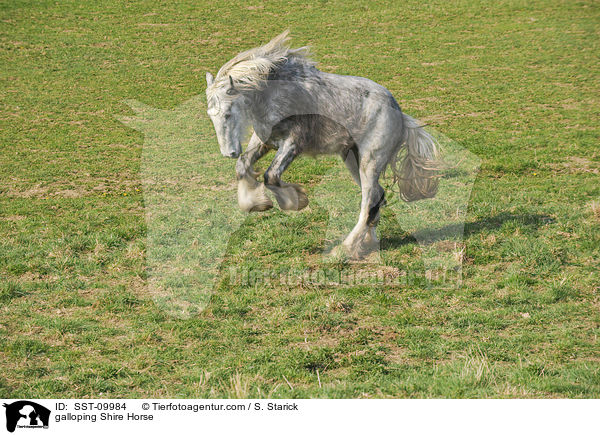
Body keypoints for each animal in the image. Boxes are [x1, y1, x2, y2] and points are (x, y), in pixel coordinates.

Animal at [204, 32, 438, 260]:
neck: (273, 93)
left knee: (368, 202)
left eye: (228, 113)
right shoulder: (265, 140)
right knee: (377, 198)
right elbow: (243, 166)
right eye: (210, 114)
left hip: (370, 162)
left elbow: (271, 176)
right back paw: (365, 244)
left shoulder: (293, 142)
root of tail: (399, 113)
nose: (229, 152)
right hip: (352, 159)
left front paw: (296, 201)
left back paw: (344, 250)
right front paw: (256, 203)